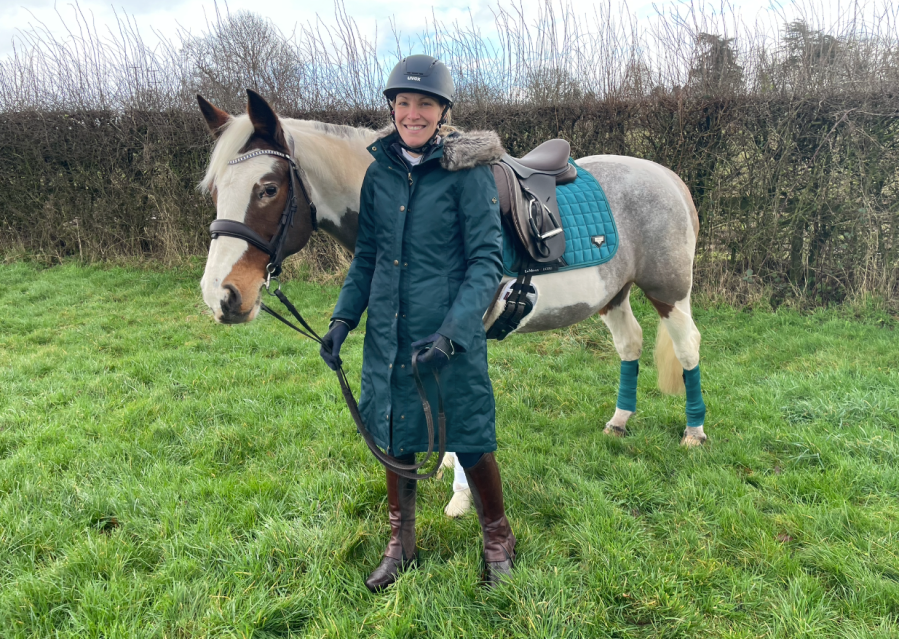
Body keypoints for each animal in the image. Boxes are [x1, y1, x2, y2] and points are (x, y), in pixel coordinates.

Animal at [197, 90, 712, 448]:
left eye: (267, 188)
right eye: (216, 189)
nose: (221, 295)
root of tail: (668, 177)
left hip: (668, 291)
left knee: (688, 347)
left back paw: (694, 432)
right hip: (613, 293)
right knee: (630, 344)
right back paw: (619, 422)